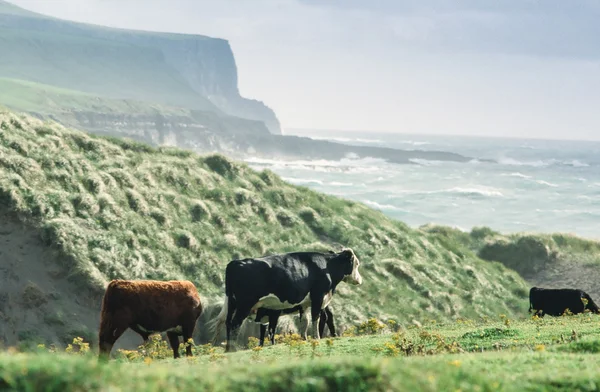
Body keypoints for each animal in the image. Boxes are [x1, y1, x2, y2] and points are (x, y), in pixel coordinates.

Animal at [211, 248, 360, 352]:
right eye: (357, 264)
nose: (359, 280)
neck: (327, 266)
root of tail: (234, 263)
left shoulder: (305, 304)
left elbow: (304, 322)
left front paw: (304, 339)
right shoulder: (318, 296)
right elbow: (315, 318)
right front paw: (316, 338)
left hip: (232, 303)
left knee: (228, 323)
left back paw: (227, 349)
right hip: (244, 304)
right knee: (235, 324)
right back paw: (233, 349)